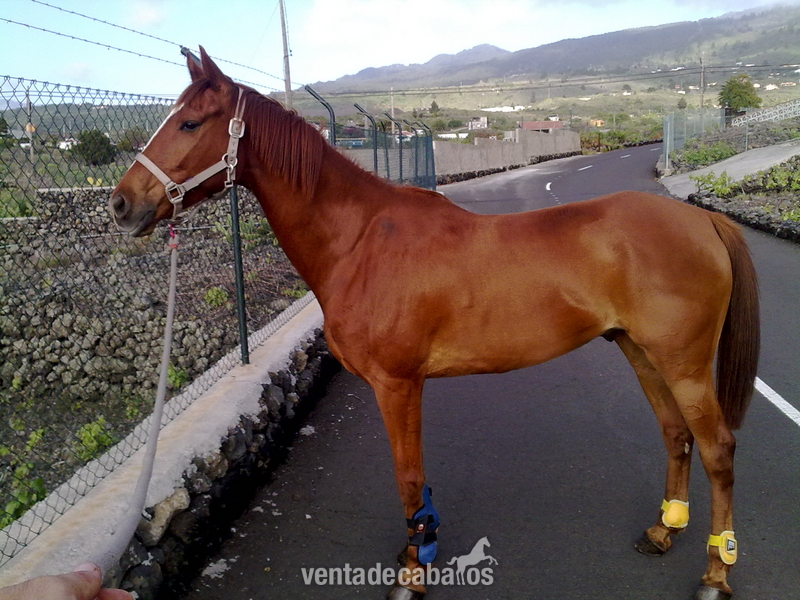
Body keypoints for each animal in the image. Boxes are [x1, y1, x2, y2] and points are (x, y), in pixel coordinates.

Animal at [110, 48, 759, 600]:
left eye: (190, 123)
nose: (120, 204)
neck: (360, 240)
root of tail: (702, 221)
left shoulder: (397, 385)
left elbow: (407, 477)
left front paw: (411, 576)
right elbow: (416, 482)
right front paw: (417, 550)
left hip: (683, 363)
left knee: (719, 449)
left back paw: (715, 573)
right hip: (642, 352)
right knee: (676, 436)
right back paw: (663, 532)